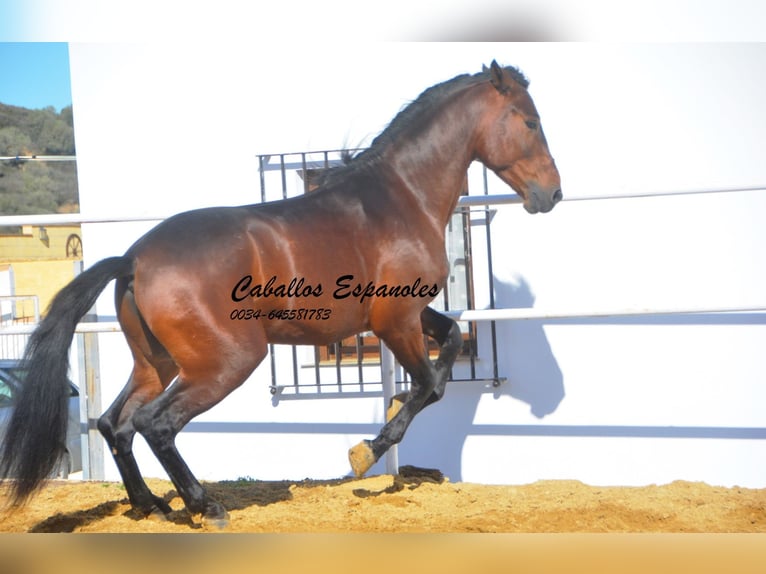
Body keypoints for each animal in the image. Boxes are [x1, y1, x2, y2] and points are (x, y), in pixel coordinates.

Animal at [1, 60, 564, 528]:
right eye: (530, 122)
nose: (552, 194)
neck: (400, 197)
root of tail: (134, 259)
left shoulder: (403, 314)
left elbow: (449, 344)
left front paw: (389, 417)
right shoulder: (396, 319)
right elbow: (430, 384)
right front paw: (366, 451)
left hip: (156, 362)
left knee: (114, 423)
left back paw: (152, 506)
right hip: (228, 360)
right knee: (155, 423)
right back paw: (206, 507)